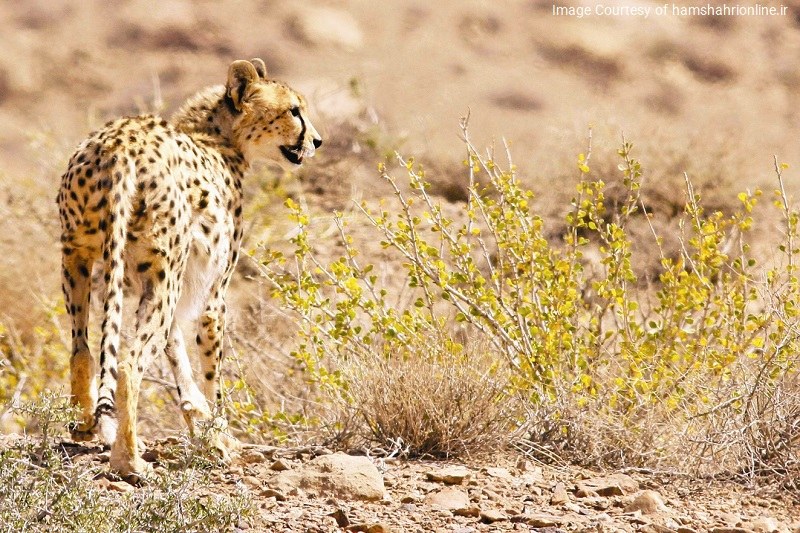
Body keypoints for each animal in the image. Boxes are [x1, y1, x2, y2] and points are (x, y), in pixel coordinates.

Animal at [56, 57, 322, 478]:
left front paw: (200, 420)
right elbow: (211, 370)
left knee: (81, 347)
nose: (317, 141)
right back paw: (129, 460)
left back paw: (86, 425)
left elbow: (175, 348)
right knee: (129, 363)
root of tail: (118, 144)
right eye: (294, 111)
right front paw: (220, 430)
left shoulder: (166, 280)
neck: (218, 139)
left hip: (78, 254)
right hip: (160, 274)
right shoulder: (212, 292)